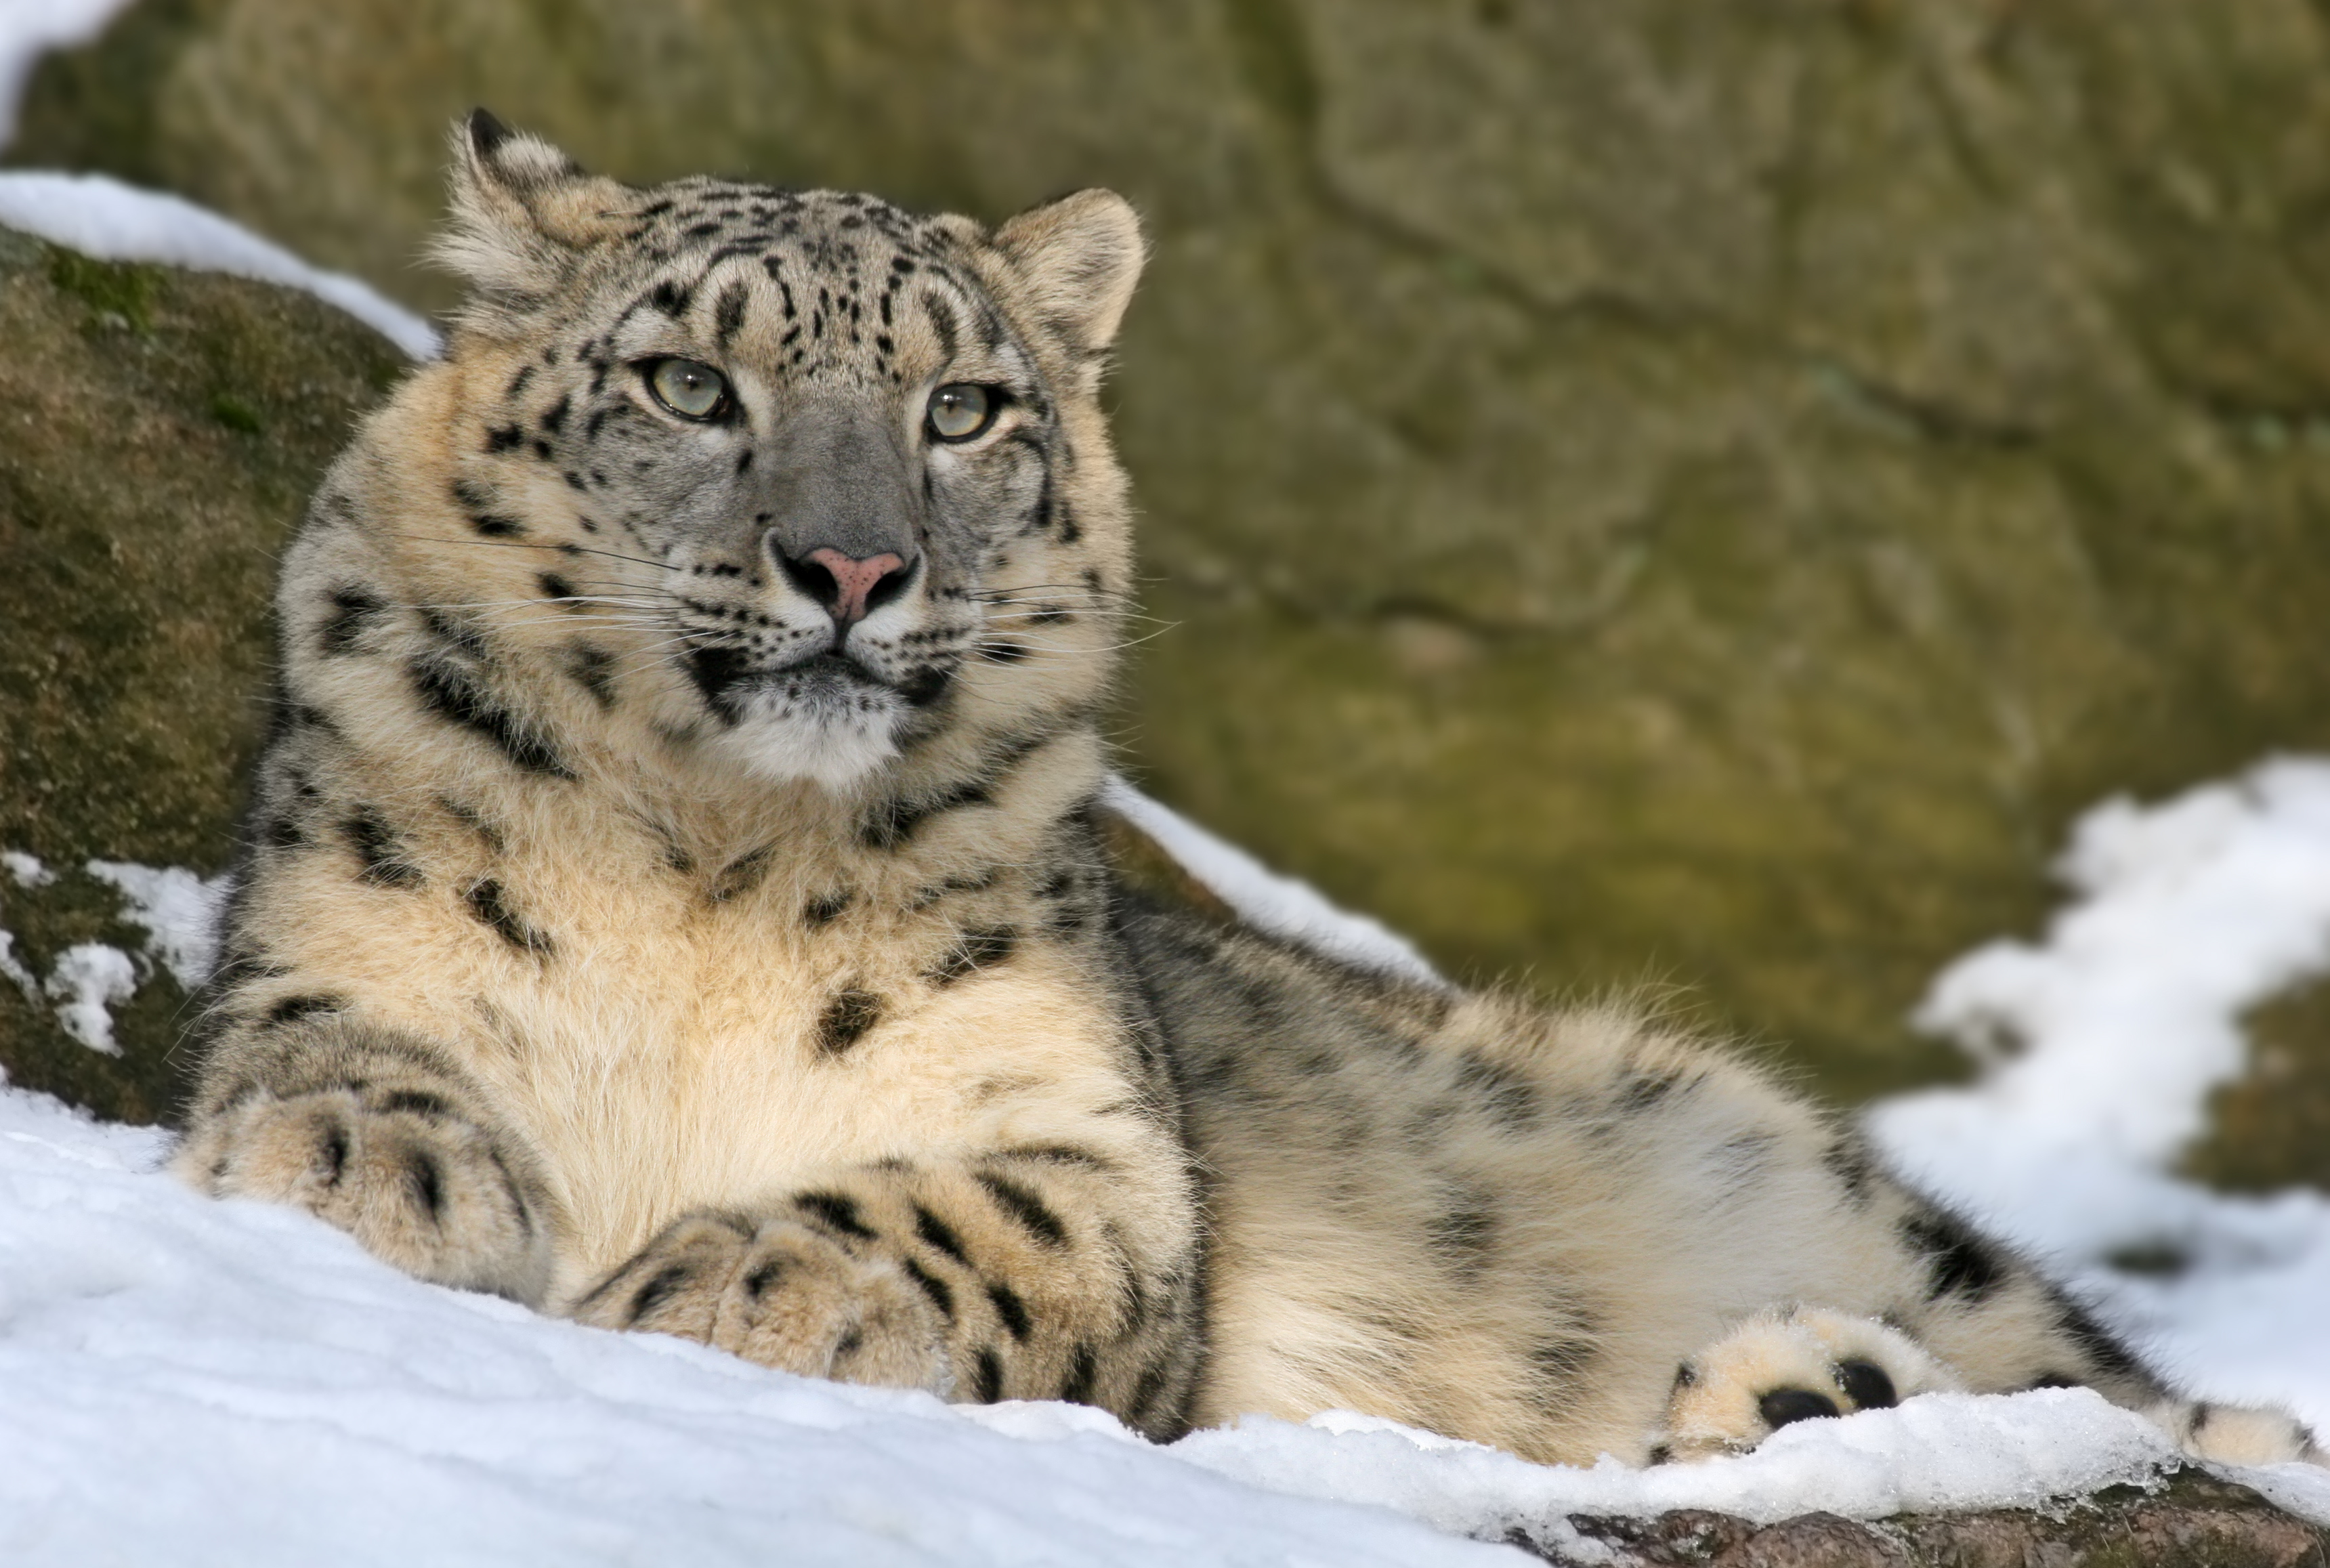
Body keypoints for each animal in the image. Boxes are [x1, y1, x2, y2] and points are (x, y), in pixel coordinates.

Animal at [174, 111, 2321, 1473]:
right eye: (693, 386)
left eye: (964, 406)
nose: (858, 567)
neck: (714, 861)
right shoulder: (332, 931)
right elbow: (330, 1039)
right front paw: (378, 1165)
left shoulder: (1090, 1143)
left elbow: (978, 1221)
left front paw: (735, 1269)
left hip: (1851, 1206)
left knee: (2163, 1411)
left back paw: (1799, 1385)